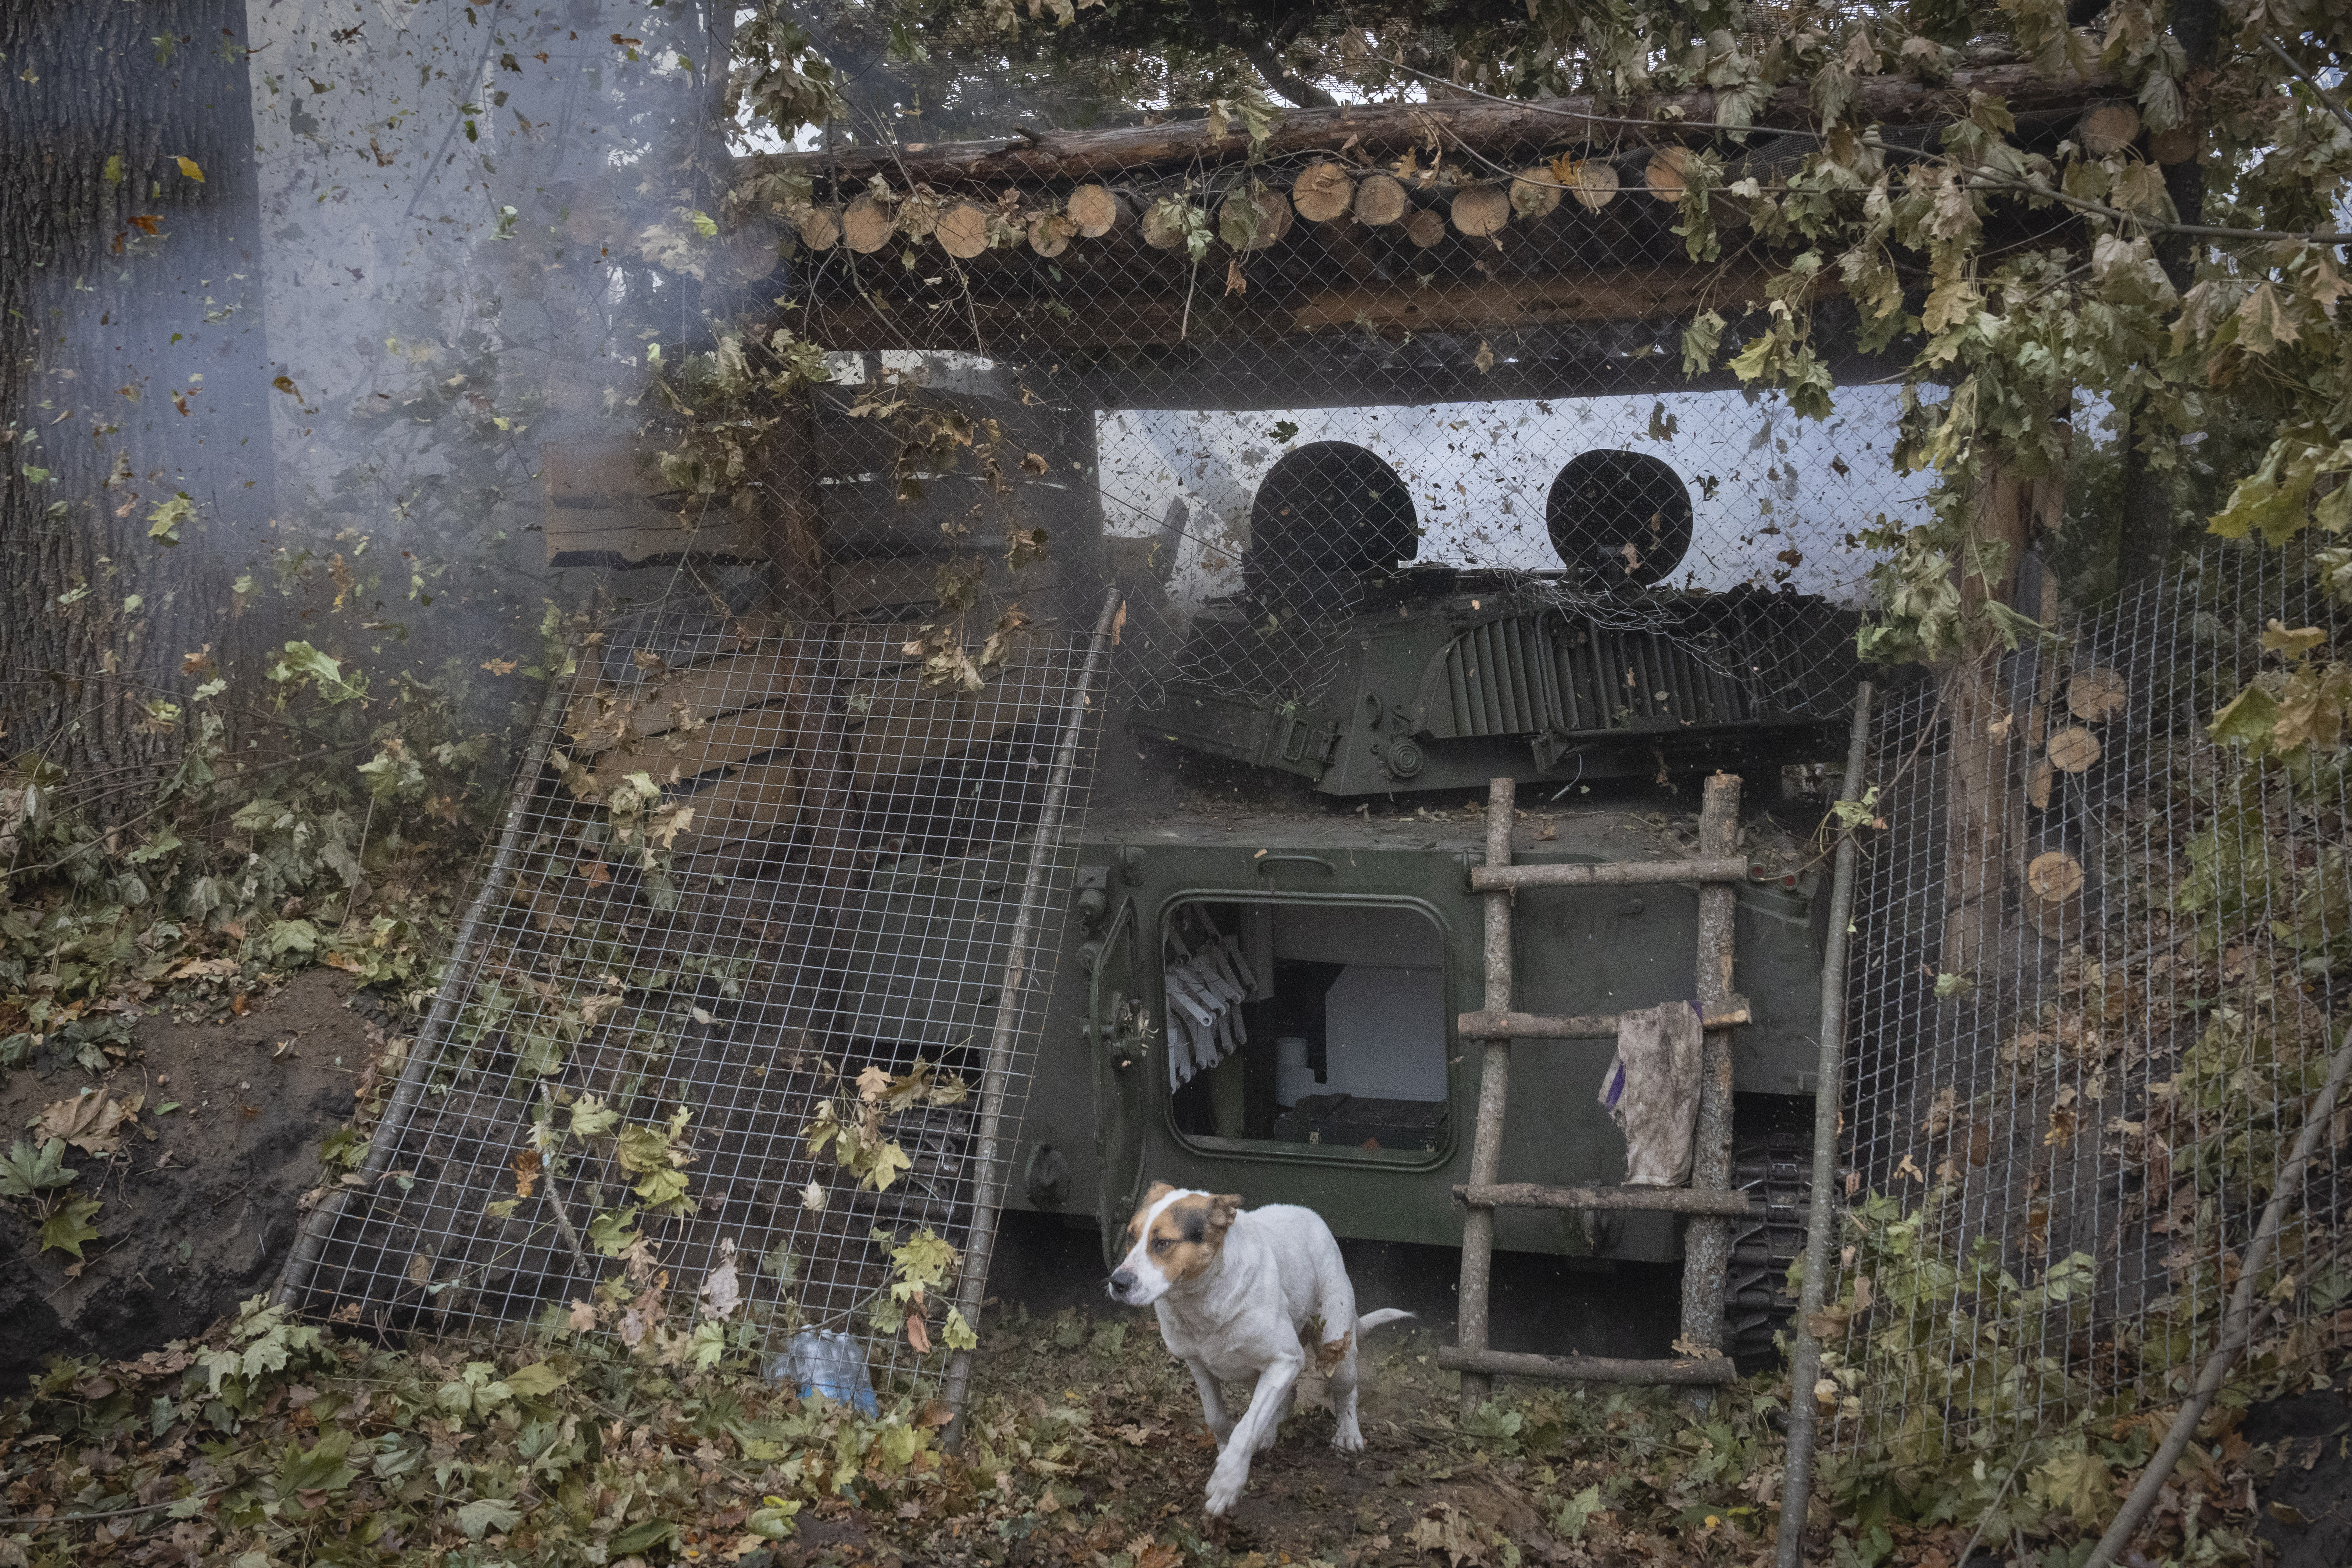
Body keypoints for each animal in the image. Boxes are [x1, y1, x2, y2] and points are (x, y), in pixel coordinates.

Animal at [1105, 1189, 1411, 1523]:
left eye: (1162, 1243)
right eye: (1130, 1237)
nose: (1117, 1283)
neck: (1202, 1300)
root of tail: (1307, 1214)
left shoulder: (1286, 1360)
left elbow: (1246, 1428)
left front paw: (1228, 1481)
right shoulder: (1198, 1364)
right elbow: (1218, 1419)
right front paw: (1226, 1455)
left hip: (1335, 1351)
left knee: (1345, 1394)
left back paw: (1347, 1434)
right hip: (1250, 1371)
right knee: (1287, 1396)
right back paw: (1269, 1433)